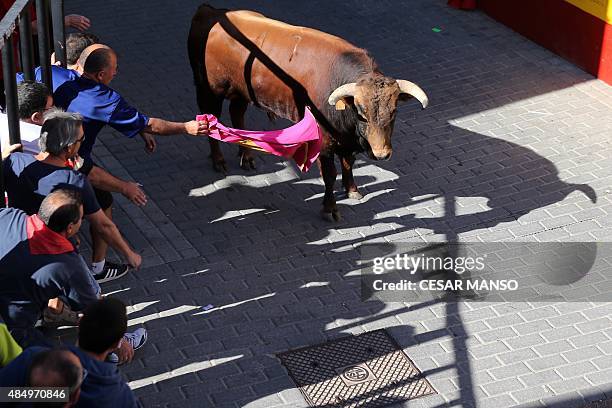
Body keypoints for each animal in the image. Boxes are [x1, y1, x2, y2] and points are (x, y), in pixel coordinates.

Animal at [186, 3, 426, 220]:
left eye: (394, 112)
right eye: (361, 113)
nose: (381, 154)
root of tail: (210, 11)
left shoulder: (345, 139)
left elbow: (348, 163)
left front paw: (352, 189)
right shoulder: (325, 141)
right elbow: (329, 175)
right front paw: (330, 208)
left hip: (241, 92)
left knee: (237, 114)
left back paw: (246, 157)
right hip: (209, 90)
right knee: (209, 120)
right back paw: (218, 160)